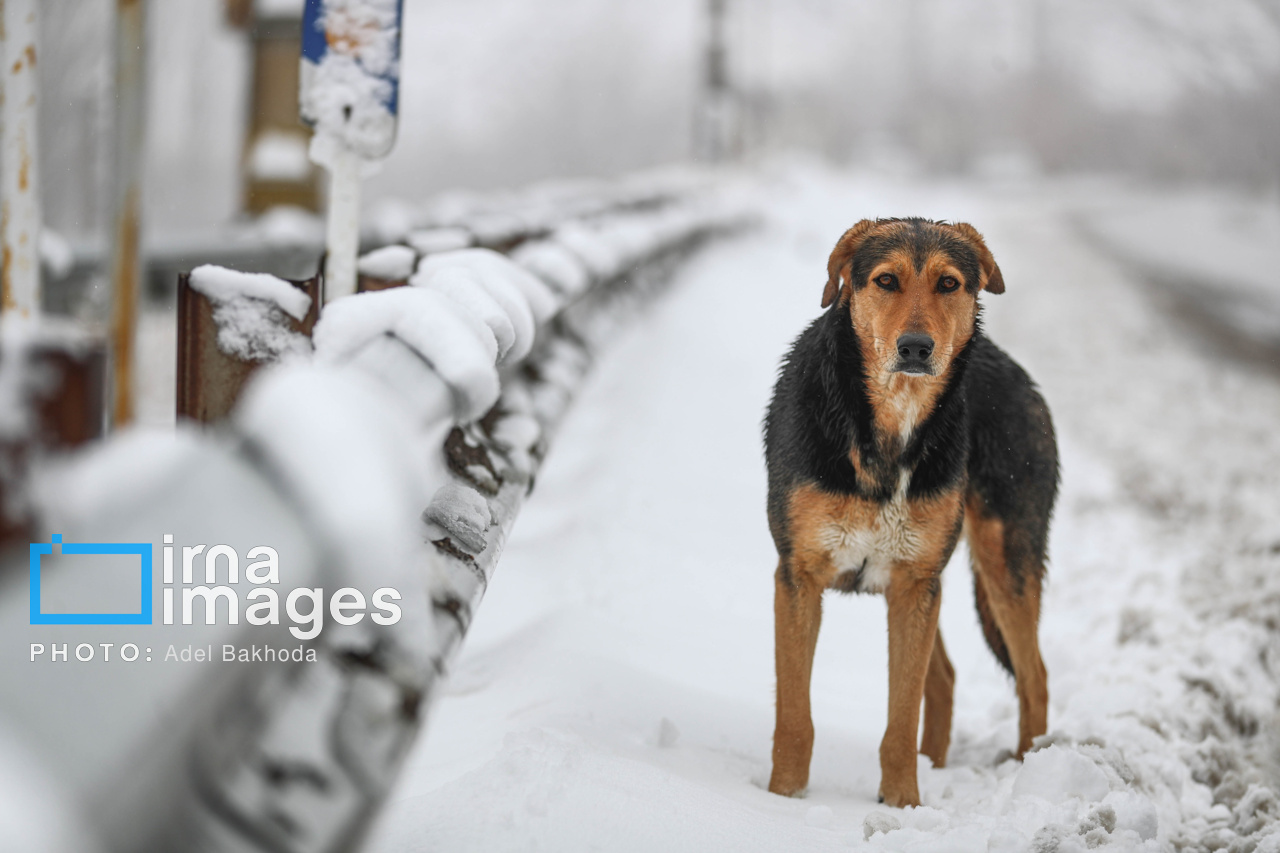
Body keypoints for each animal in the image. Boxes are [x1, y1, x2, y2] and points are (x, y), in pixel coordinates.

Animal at [757, 213, 1059, 804]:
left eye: (948, 283)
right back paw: (939, 767)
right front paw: (781, 802)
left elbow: (899, 719)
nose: (916, 347)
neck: (891, 425)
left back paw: (1029, 776)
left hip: (1002, 561)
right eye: (886, 280)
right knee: (944, 678)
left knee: (1033, 677)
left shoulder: (915, 584)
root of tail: (1023, 378)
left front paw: (902, 805)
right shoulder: (800, 577)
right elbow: (795, 717)